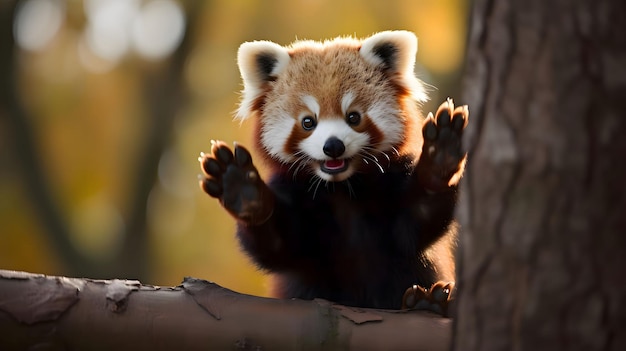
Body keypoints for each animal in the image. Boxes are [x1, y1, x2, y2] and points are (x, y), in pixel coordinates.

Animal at [197, 30, 466, 310]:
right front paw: (242, 189)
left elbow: (417, 222)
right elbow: (277, 246)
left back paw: (427, 302)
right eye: (308, 122)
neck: (341, 189)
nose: (333, 146)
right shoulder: (295, 195)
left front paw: (440, 159)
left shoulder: (392, 185)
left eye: (353, 117)